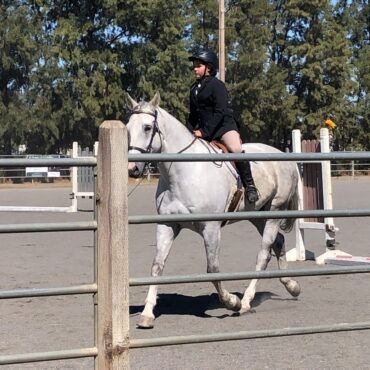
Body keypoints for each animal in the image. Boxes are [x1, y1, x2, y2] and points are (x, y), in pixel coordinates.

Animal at [127, 93, 300, 330]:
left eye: (146, 127)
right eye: (127, 128)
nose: (132, 169)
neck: (183, 171)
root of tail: (282, 156)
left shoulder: (211, 228)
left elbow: (213, 268)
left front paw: (232, 302)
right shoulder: (167, 224)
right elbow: (157, 266)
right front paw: (146, 314)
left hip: (274, 211)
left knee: (263, 254)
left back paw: (246, 302)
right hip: (259, 215)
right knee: (279, 242)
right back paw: (291, 285)